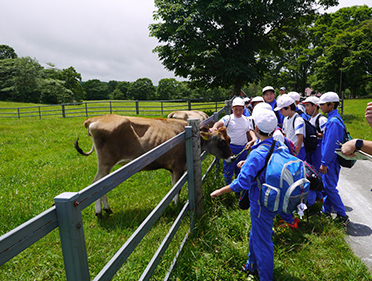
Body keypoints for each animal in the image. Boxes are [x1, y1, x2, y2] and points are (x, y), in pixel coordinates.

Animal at [75, 114, 232, 217]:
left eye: (229, 139)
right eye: (222, 142)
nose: (232, 157)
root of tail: (96, 118)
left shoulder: (172, 169)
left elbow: (174, 187)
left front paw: (174, 203)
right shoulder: (178, 167)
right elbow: (177, 189)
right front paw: (177, 206)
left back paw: (106, 209)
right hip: (105, 163)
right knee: (96, 184)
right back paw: (99, 212)